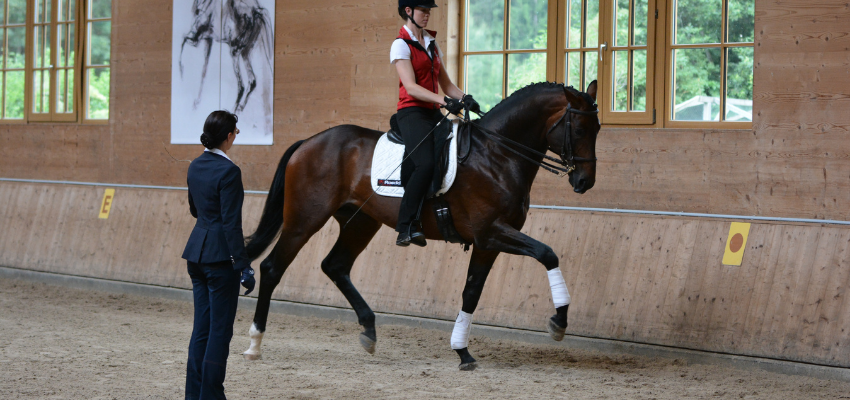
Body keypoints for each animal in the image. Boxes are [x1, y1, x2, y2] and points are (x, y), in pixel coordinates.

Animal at [238, 81, 596, 372]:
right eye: (579, 130)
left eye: (597, 129)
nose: (584, 182)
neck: (497, 155)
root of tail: (308, 142)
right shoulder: (492, 232)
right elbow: (547, 253)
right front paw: (558, 321)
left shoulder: (487, 242)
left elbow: (471, 292)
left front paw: (462, 351)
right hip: (304, 219)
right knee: (272, 268)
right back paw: (255, 343)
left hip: (360, 223)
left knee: (335, 265)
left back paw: (369, 330)